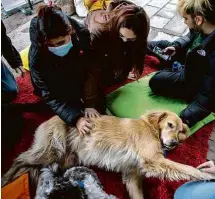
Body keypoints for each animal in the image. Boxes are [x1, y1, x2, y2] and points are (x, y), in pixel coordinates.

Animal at [2, 111, 215, 198]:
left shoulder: (132, 175)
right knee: (19, 160)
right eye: (169, 125)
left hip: (63, 160)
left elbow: (137, 195)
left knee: (29, 167)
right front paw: (204, 174)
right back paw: (5, 179)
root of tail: (49, 119)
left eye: (180, 132)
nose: (174, 143)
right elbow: (185, 168)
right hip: (49, 151)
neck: (152, 128)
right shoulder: (153, 160)